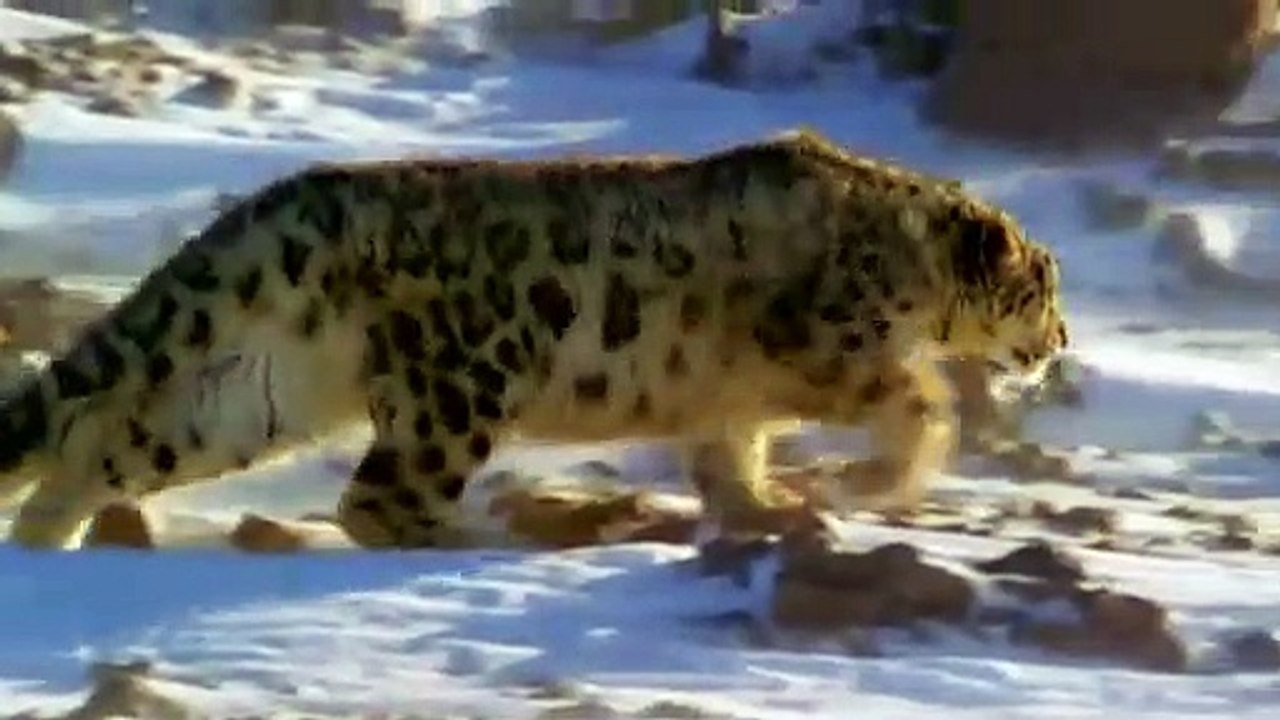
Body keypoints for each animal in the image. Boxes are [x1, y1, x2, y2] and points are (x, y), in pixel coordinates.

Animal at [0, 128, 1068, 550]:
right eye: (1043, 284)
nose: (1060, 340)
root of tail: (293, 200)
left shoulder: (730, 402)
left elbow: (729, 456)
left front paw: (765, 504)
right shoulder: (831, 347)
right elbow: (920, 398)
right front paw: (882, 478)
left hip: (262, 394)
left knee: (105, 444)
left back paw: (43, 544)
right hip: (464, 381)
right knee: (380, 500)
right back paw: (487, 537)